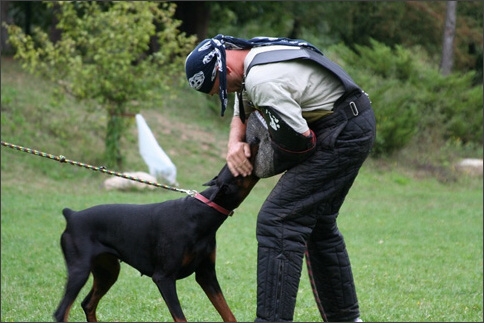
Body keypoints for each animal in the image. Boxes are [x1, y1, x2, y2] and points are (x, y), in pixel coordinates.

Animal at [53, 147, 260, 323]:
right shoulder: (164, 277)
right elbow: (180, 317)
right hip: (80, 270)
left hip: (108, 271)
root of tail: (72, 215)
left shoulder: (206, 274)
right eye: (237, 165)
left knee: (88, 304)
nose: (253, 141)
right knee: (61, 313)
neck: (200, 214)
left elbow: (228, 314)